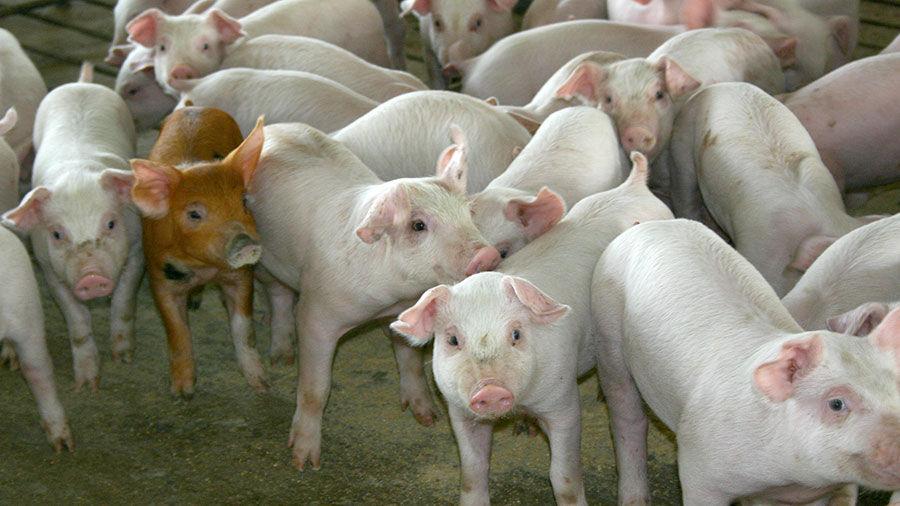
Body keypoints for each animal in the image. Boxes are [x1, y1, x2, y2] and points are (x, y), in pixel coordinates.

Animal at [1, 65, 141, 391]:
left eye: (111, 223)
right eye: (57, 234)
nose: (91, 277)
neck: (78, 172)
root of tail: (82, 84)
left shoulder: (137, 249)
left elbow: (124, 302)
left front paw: (123, 359)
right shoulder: (48, 267)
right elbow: (76, 321)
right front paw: (87, 385)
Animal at [130, 108, 267, 397]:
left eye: (244, 202)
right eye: (194, 214)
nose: (245, 242)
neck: (204, 268)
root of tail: (196, 108)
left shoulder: (241, 275)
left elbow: (243, 327)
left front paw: (261, 385)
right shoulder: (160, 275)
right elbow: (177, 331)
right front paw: (183, 393)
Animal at [247, 122, 501, 470]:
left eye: (469, 213)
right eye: (418, 225)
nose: (488, 255)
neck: (389, 297)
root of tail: (273, 128)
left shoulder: (403, 313)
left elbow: (410, 361)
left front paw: (428, 417)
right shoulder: (317, 311)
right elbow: (316, 388)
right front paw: (304, 461)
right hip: (265, 257)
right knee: (278, 293)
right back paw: (282, 357)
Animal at [390, 152, 673, 505]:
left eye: (516, 334)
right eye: (453, 339)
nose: (490, 389)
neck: (523, 402)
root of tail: (634, 185)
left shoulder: (563, 403)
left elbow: (563, 476)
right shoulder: (459, 410)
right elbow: (472, 471)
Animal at [592, 218, 900, 505]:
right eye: (836, 403)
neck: (786, 480)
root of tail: (649, 224)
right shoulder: (698, 469)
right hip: (608, 332)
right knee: (627, 417)